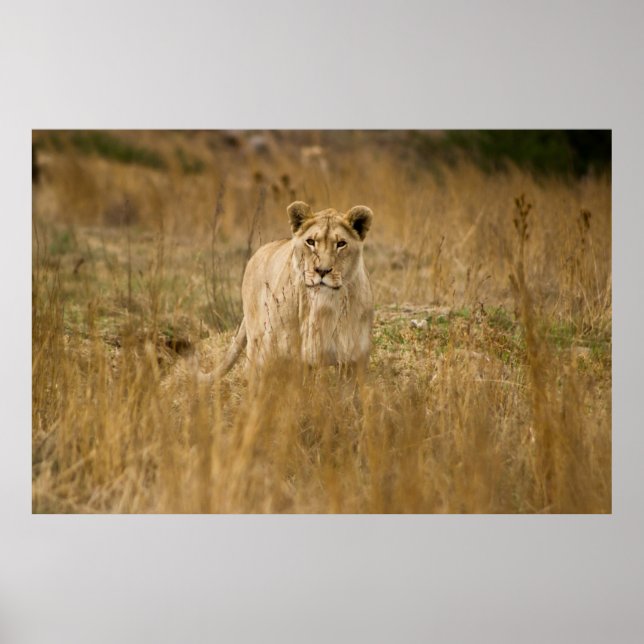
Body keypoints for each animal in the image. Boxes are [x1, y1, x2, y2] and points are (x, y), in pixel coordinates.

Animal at [199, 200, 374, 384]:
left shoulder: (354, 359)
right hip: (257, 341)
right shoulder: (281, 352)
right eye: (311, 242)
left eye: (341, 244)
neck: (324, 306)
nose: (322, 271)